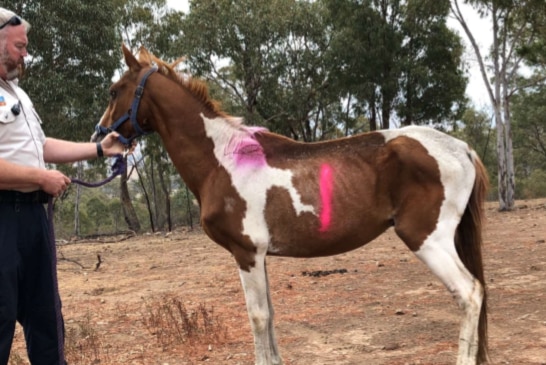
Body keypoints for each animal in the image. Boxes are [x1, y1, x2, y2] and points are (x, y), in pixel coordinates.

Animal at [91, 45, 486, 364]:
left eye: (114, 91)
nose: (100, 136)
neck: (222, 159)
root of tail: (461, 147)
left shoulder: (246, 252)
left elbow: (258, 317)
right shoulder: (259, 255)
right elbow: (270, 314)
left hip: (427, 239)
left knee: (469, 294)